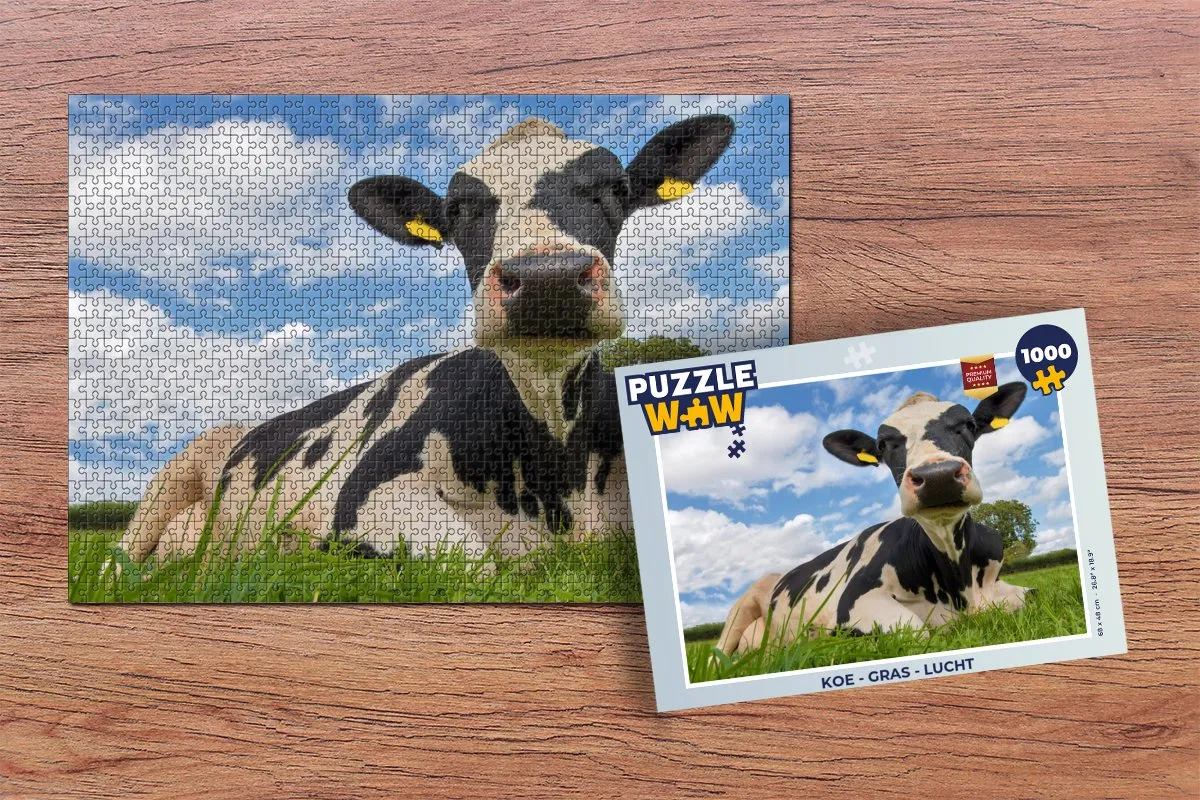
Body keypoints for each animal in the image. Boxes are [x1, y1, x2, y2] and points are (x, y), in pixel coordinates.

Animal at [114, 114, 736, 568]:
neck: (556, 476)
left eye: (617, 188)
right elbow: (476, 565)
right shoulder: (363, 497)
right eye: (458, 210)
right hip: (168, 483)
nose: (547, 277)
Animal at [715, 382, 1035, 656]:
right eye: (883, 444)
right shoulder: (853, 604)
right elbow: (917, 632)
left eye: (969, 425)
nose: (938, 476)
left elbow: (1031, 596)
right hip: (737, 614)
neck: (958, 583)